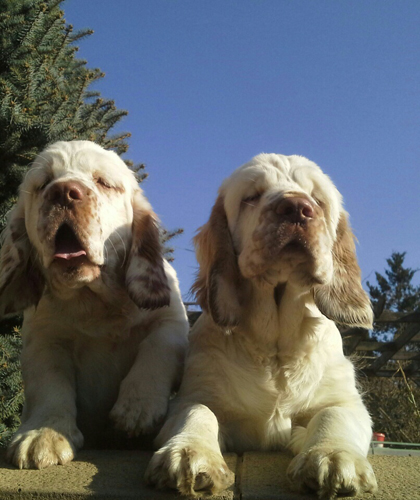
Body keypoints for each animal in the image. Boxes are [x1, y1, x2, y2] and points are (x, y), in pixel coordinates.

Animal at [0, 140, 187, 468]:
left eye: (103, 182)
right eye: (43, 184)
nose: (64, 192)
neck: (94, 298)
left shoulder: (172, 320)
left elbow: (158, 348)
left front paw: (137, 408)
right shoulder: (44, 339)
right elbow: (50, 382)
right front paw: (43, 435)